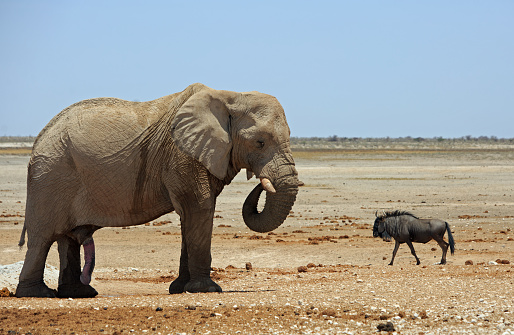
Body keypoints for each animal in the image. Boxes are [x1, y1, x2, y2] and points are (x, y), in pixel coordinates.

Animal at [15, 84, 296, 300]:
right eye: (260, 142)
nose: (260, 180)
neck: (231, 96)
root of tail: (39, 139)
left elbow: (190, 216)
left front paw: (180, 289)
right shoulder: (181, 156)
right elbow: (200, 207)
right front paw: (206, 290)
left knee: (67, 237)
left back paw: (79, 293)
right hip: (50, 176)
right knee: (42, 239)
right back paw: (37, 294)